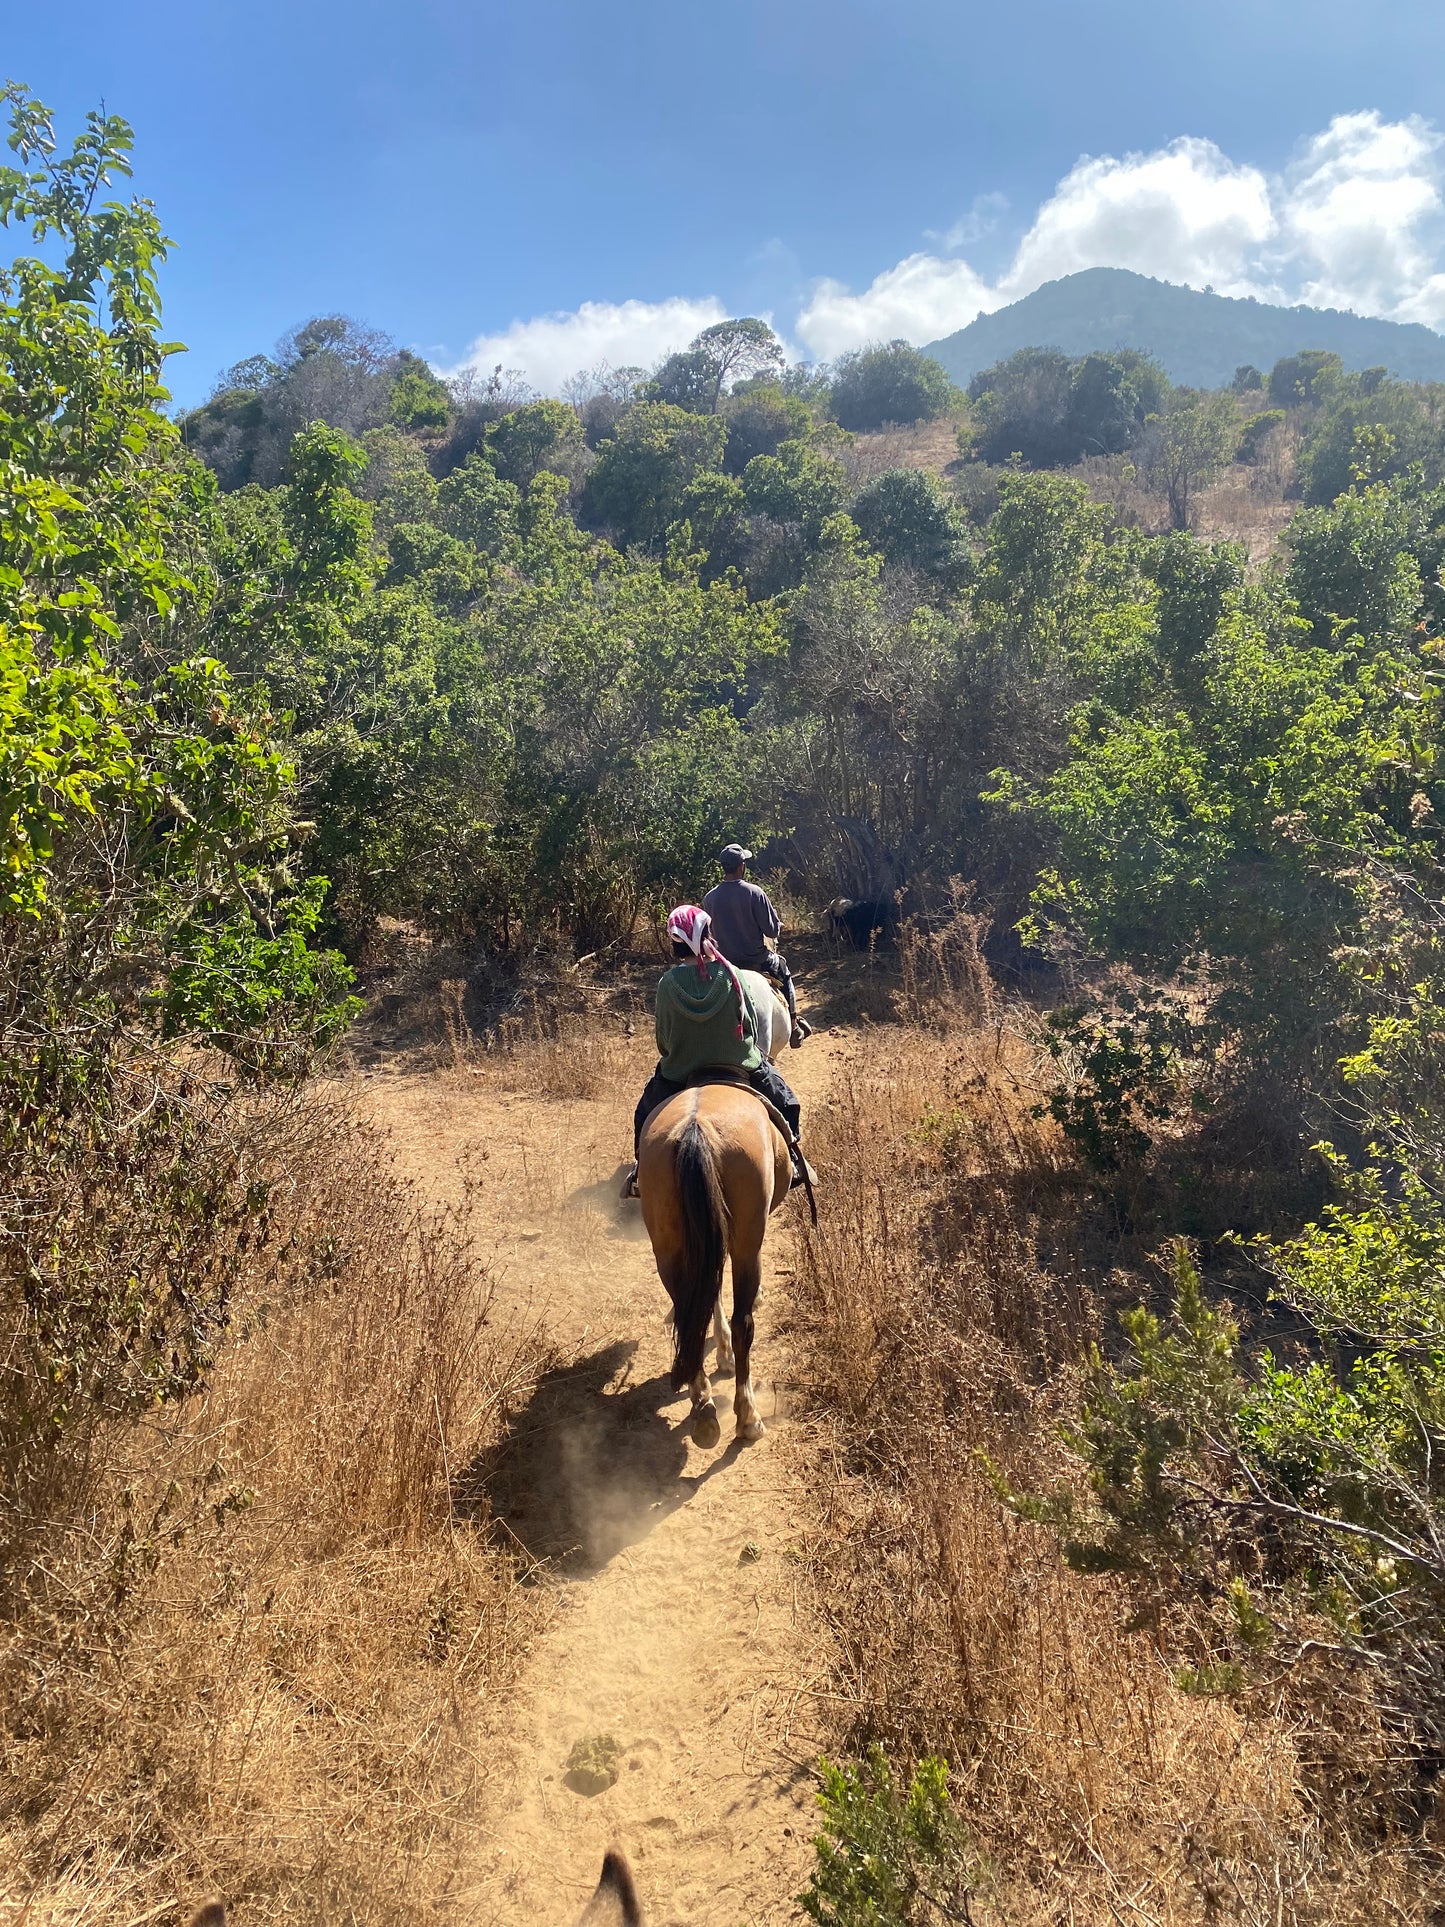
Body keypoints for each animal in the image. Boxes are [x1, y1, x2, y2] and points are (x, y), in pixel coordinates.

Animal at [635, 1086, 793, 1449]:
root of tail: (697, 1129)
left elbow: (710, 1294)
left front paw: (721, 1354)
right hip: (747, 1242)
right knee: (743, 1324)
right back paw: (748, 1419)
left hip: (668, 1246)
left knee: (688, 1315)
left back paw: (703, 1404)